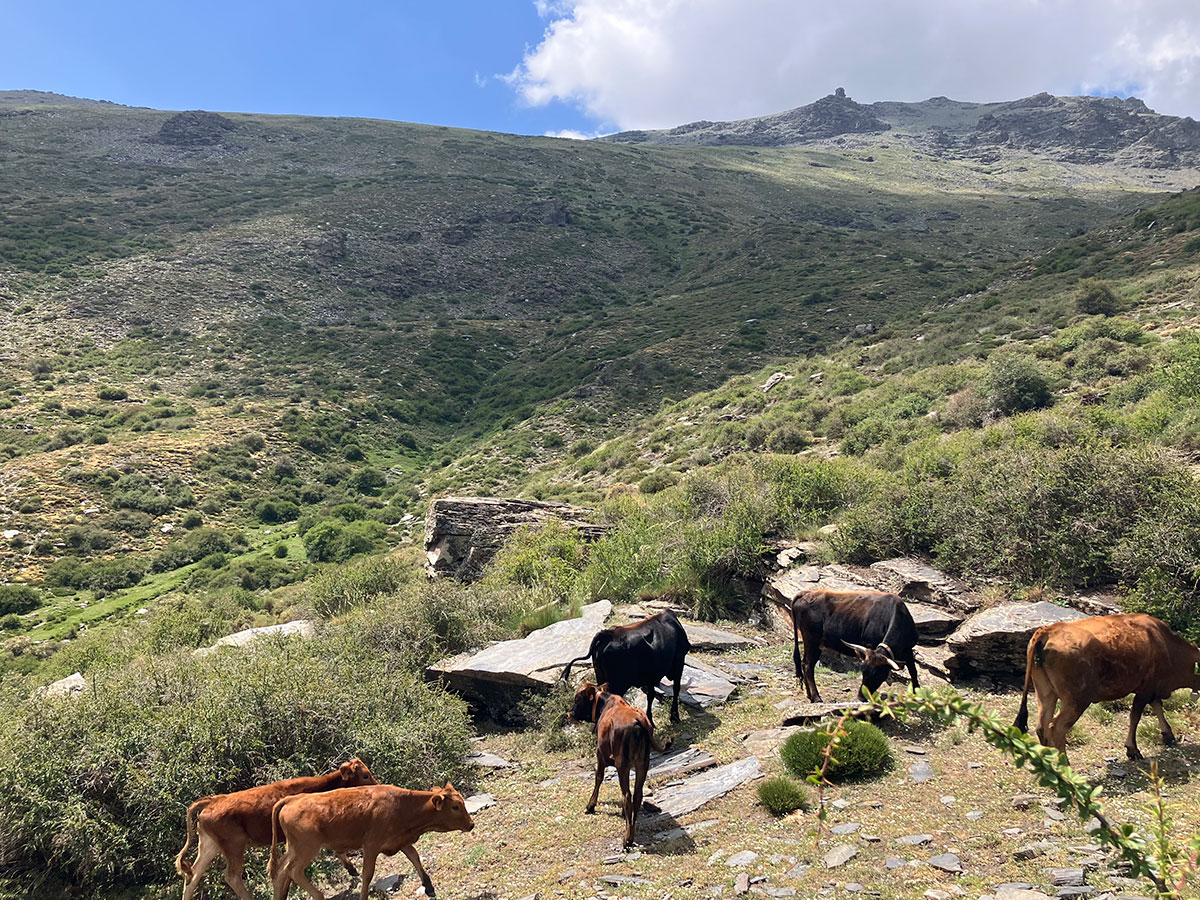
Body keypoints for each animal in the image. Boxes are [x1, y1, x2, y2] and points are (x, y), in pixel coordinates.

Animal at [175, 763, 374, 900]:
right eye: (365, 775)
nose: (375, 785)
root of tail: (212, 801)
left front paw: (351, 868)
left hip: (210, 846)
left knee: (193, 875)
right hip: (234, 846)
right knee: (232, 877)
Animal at [270, 782, 475, 900]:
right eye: (456, 806)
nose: (471, 824)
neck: (402, 806)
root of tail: (292, 799)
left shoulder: (401, 840)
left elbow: (415, 857)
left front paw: (429, 886)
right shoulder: (371, 845)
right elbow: (368, 874)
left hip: (294, 848)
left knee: (280, 871)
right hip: (307, 848)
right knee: (293, 871)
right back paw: (319, 896)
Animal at [561, 609, 696, 729]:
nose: (571, 714)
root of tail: (607, 634)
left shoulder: (651, 674)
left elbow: (651, 695)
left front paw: (650, 721)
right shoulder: (679, 661)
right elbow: (676, 689)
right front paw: (674, 717)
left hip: (601, 676)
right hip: (618, 684)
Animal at [566, 686, 672, 849]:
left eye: (577, 699)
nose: (570, 713)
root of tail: (639, 720)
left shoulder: (600, 754)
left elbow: (598, 778)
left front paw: (591, 805)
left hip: (623, 765)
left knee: (627, 795)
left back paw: (627, 839)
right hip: (643, 764)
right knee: (637, 795)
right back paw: (630, 833)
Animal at [1012, 614, 1200, 763]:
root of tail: (1049, 630)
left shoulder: (1153, 688)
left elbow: (1157, 707)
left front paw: (1168, 735)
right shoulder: (1145, 688)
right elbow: (1135, 716)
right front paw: (1133, 749)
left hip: (1045, 692)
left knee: (1041, 726)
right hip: (1077, 700)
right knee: (1056, 727)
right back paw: (1065, 767)